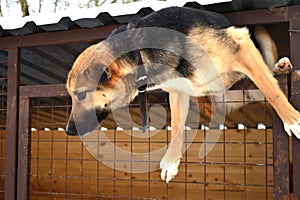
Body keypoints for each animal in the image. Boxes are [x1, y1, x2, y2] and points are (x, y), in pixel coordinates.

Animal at [65, 7, 298, 184]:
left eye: (81, 94)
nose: (68, 131)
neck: (140, 54)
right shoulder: (179, 91)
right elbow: (176, 127)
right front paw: (171, 161)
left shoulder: (240, 43)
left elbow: (272, 93)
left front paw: (293, 120)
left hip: (258, 35)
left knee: (268, 74)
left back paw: (281, 66)